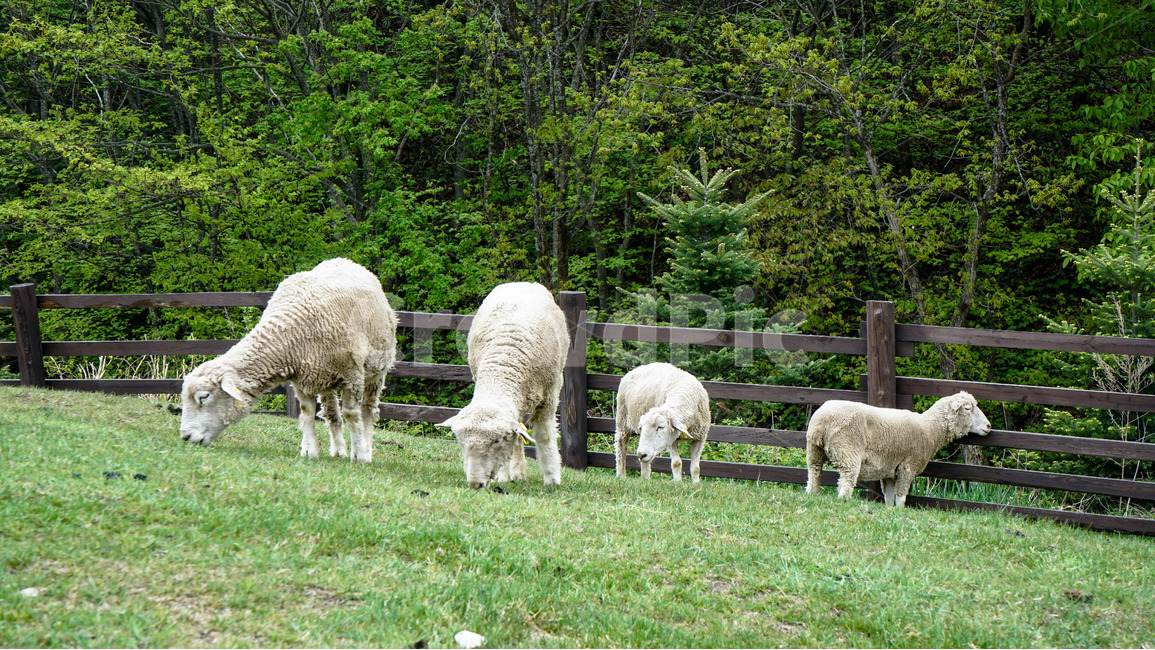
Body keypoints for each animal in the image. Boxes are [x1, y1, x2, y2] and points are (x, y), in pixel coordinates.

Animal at [179, 258, 397, 463]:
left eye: (204, 397)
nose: (185, 437)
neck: (292, 333)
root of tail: (346, 261)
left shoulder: (351, 375)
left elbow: (352, 414)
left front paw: (360, 454)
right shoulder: (303, 378)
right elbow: (307, 412)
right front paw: (309, 451)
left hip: (377, 370)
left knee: (368, 411)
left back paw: (366, 448)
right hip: (325, 377)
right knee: (331, 413)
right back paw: (338, 451)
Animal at [436, 282, 569, 489]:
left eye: (497, 440)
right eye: (461, 442)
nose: (475, 484)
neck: (504, 361)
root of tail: (521, 282)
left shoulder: (550, 395)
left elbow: (544, 436)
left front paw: (552, 478)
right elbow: (516, 436)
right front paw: (503, 476)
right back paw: (517, 473)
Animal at [804, 391, 992, 507]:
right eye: (968, 408)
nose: (988, 426)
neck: (930, 429)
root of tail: (822, 423)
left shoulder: (889, 469)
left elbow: (888, 496)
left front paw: (889, 511)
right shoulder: (908, 466)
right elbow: (901, 497)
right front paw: (900, 511)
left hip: (813, 452)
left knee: (814, 474)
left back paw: (812, 494)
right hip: (848, 453)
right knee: (845, 484)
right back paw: (844, 502)